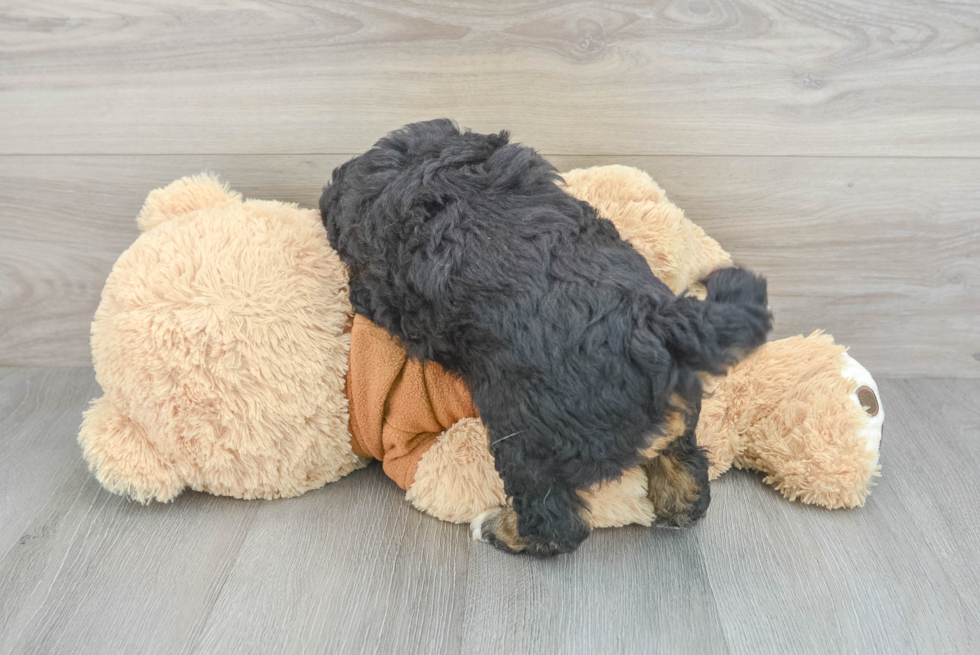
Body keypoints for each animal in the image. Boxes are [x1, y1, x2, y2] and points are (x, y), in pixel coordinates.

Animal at [322, 120, 772, 556]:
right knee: (687, 468)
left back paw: (498, 530)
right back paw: (678, 508)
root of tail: (656, 332)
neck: (431, 166)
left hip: (525, 435)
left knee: (555, 521)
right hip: (677, 415)